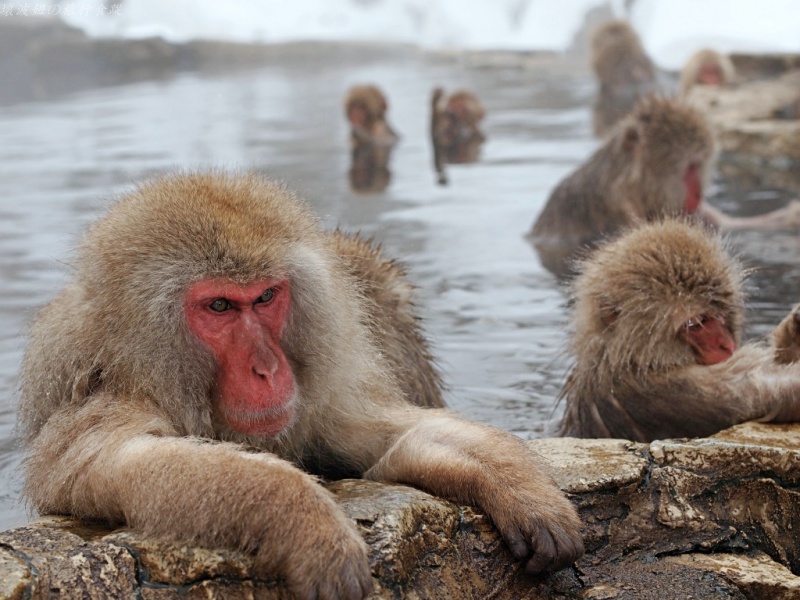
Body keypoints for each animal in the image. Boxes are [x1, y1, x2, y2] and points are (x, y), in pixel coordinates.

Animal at [19, 171, 584, 600]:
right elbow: (112, 463)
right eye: (219, 306)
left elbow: (396, 438)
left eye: (266, 297)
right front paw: (306, 518)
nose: (268, 369)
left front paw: (519, 488)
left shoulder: (317, 393)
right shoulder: (106, 399)